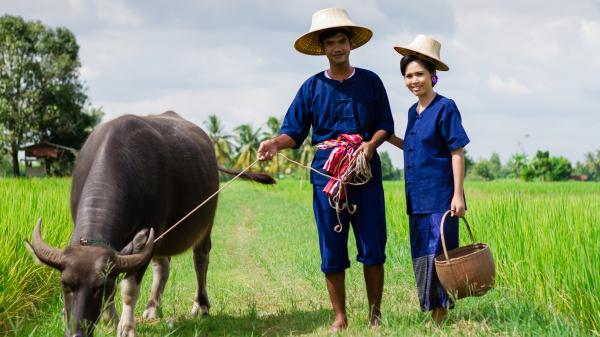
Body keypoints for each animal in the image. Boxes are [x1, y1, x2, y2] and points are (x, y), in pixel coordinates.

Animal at [25, 111, 274, 334]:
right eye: (65, 284)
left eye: (99, 288)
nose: (77, 331)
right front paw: (110, 321)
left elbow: (128, 289)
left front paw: (126, 328)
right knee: (162, 266)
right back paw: (153, 307)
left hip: (205, 224)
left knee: (201, 259)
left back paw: (201, 306)